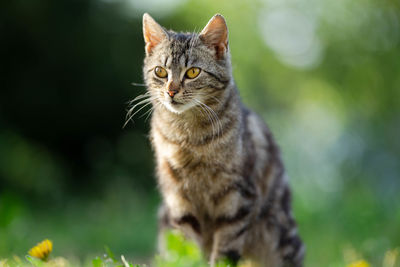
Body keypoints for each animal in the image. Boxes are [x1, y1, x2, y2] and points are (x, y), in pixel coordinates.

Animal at [134, 13, 304, 267]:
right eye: (160, 72)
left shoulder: (237, 200)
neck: (189, 136)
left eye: (193, 72)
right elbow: (187, 250)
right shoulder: (178, 200)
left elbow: (225, 250)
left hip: (280, 236)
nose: (171, 91)